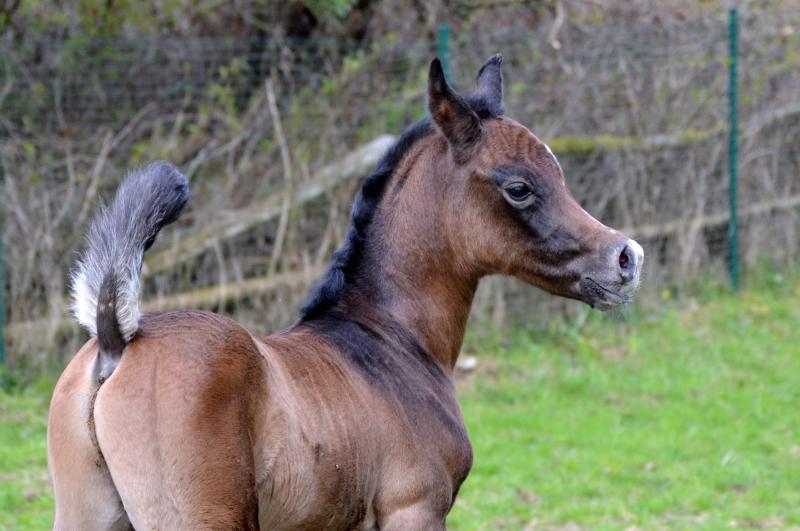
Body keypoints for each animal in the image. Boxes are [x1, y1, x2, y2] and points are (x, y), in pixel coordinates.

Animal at [47, 55, 643, 530]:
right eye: (519, 187)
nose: (626, 257)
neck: (391, 341)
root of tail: (115, 341)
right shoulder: (414, 510)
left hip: (85, 516)